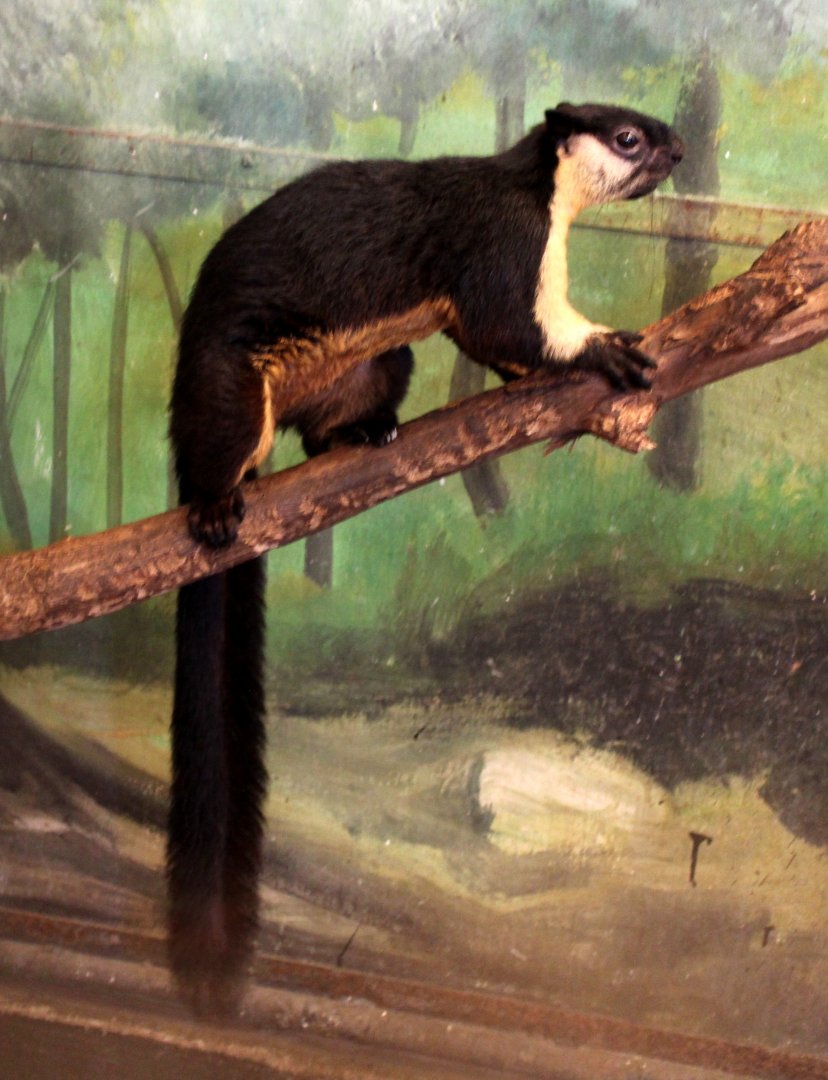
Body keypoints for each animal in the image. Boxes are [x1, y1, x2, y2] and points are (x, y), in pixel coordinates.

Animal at [167, 101, 683, 1010]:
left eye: (660, 129)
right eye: (629, 136)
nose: (682, 148)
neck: (545, 210)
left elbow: (506, 346)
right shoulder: (502, 249)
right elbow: (512, 330)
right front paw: (605, 348)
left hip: (382, 358)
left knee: (322, 431)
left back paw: (368, 435)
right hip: (226, 385)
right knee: (217, 455)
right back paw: (218, 505)